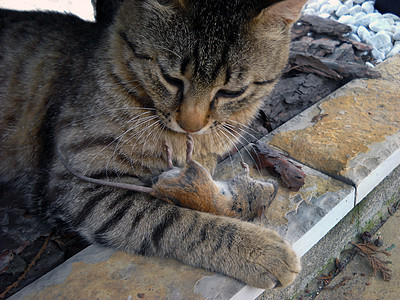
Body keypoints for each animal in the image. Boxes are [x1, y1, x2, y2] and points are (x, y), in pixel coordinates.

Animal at [0, 0, 306, 290]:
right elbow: (174, 220)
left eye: (231, 92)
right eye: (170, 79)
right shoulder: (77, 185)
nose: (190, 126)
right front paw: (256, 249)